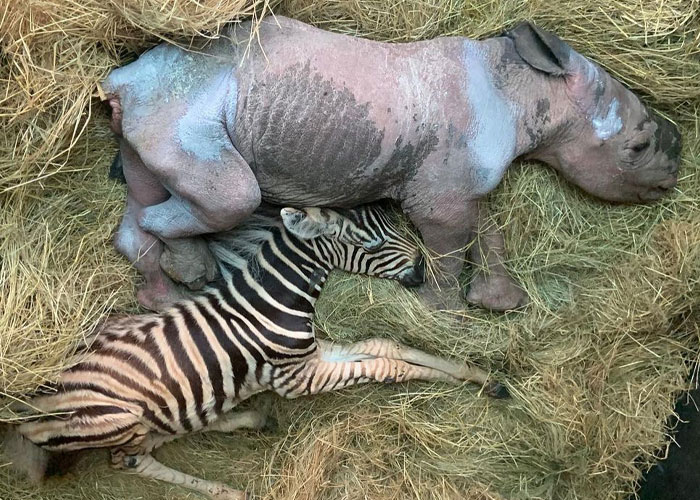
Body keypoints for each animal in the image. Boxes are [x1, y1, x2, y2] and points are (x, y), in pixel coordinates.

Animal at [5, 204, 508, 500]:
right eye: (370, 242)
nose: (421, 272)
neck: (272, 300)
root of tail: (24, 403)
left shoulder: (310, 356)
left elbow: (386, 345)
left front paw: (480, 376)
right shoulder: (296, 378)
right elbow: (387, 367)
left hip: (138, 386)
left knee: (166, 430)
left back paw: (250, 418)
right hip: (115, 418)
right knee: (129, 459)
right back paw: (225, 489)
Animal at [101, 16, 680, 312]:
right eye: (636, 148)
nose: (673, 176)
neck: (531, 92)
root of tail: (125, 75)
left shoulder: (458, 183)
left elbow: (485, 229)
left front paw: (500, 303)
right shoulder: (441, 193)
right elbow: (450, 247)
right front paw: (441, 310)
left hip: (158, 108)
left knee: (147, 188)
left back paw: (162, 296)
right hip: (181, 104)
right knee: (233, 196)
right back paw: (190, 271)